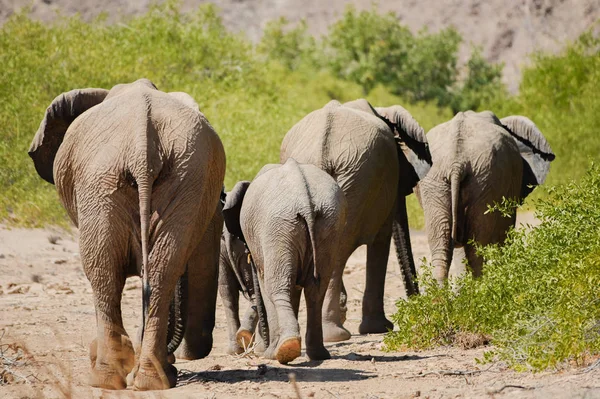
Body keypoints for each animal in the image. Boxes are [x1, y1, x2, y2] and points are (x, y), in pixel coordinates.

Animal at [27, 78, 226, 390]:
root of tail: (143, 145)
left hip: (101, 184)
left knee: (104, 273)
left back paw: (107, 379)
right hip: (183, 179)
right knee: (159, 271)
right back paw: (151, 381)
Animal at [220, 159, 346, 366]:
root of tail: (305, 199)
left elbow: (265, 287)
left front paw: (267, 352)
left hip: (278, 227)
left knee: (276, 288)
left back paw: (282, 351)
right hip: (327, 224)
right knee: (316, 290)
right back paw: (316, 354)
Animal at [278, 98, 428, 342]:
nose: (419, 306)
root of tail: (323, 146)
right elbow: (381, 239)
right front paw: (380, 328)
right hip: (359, 177)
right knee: (339, 250)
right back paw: (335, 334)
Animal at [414, 110, 556, 284]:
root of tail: (456, 162)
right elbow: (504, 233)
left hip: (439, 180)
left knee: (444, 245)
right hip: (485, 179)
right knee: (475, 247)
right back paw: (479, 288)